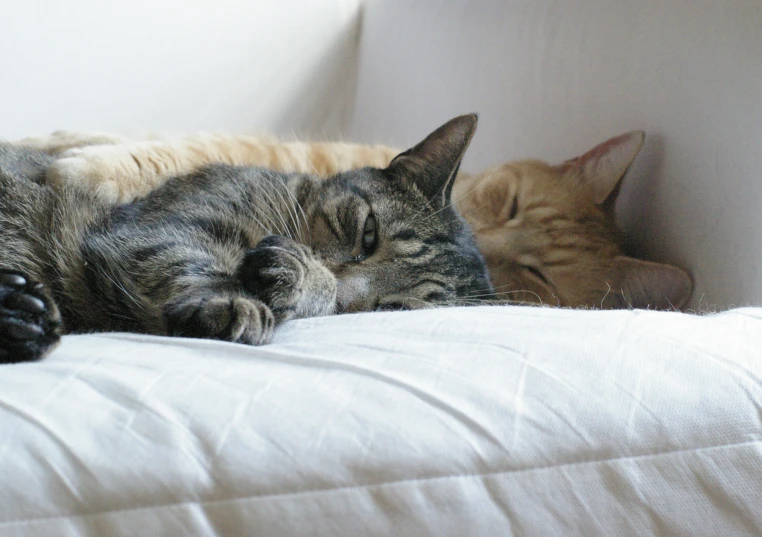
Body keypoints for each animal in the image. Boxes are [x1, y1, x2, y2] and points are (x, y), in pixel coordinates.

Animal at [0, 114, 490, 362]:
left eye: (392, 310)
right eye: (368, 234)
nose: (347, 296)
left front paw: (305, 279)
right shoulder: (159, 227)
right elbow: (184, 259)